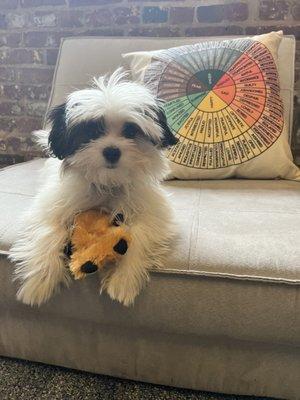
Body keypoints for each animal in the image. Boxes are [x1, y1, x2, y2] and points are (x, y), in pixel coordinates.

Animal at [8, 69, 178, 306]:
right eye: (91, 132)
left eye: (130, 131)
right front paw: (39, 283)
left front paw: (123, 280)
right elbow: (49, 231)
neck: (107, 184)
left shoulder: (152, 212)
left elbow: (140, 235)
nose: (112, 151)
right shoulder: (52, 205)